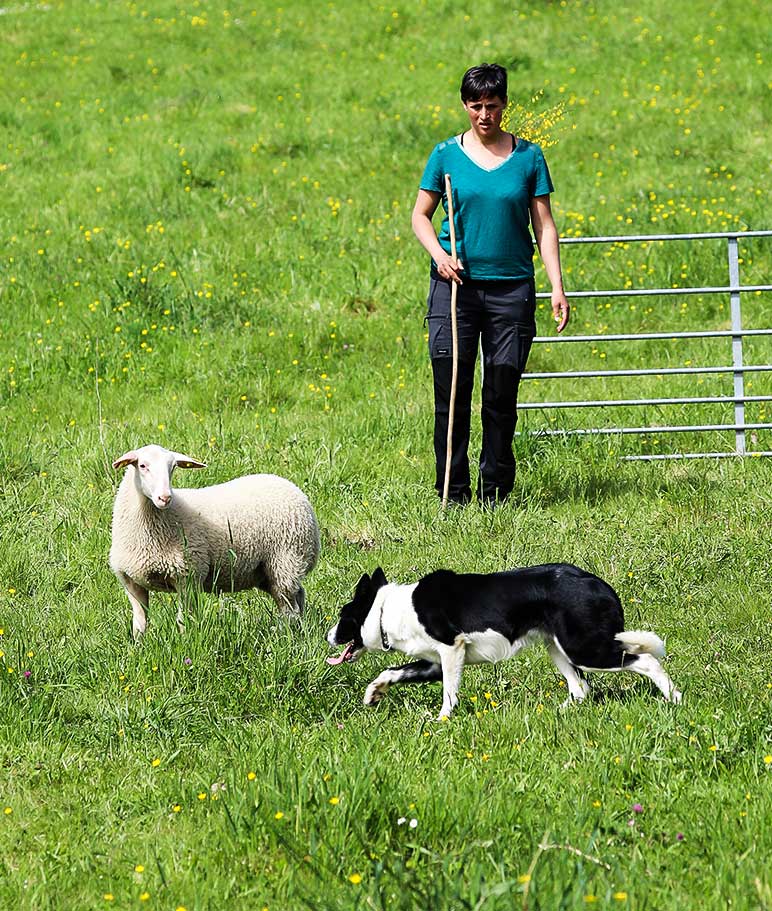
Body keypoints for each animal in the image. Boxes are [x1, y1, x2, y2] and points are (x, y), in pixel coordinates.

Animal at [108, 446, 320, 636]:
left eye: (173, 467)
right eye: (142, 466)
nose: (165, 497)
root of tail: (296, 490)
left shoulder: (189, 576)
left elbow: (183, 621)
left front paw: (185, 645)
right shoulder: (131, 582)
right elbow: (139, 625)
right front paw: (139, 649)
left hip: (286, 560)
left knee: (290, 610)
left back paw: (286, 637)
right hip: (267, 572)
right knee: (297, 597)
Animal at [326, 564, 680, 720]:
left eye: (344, 616)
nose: (328, 635)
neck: (387, 610)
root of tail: (598, 583)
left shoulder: (451, 648)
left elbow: (449, 694)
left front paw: (442, 721)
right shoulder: (433, 663)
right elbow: (391, 671)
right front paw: (373, 694)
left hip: (583, 648)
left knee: (647, 660)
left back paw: (673, 699)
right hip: (558, 648)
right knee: (581, 689)